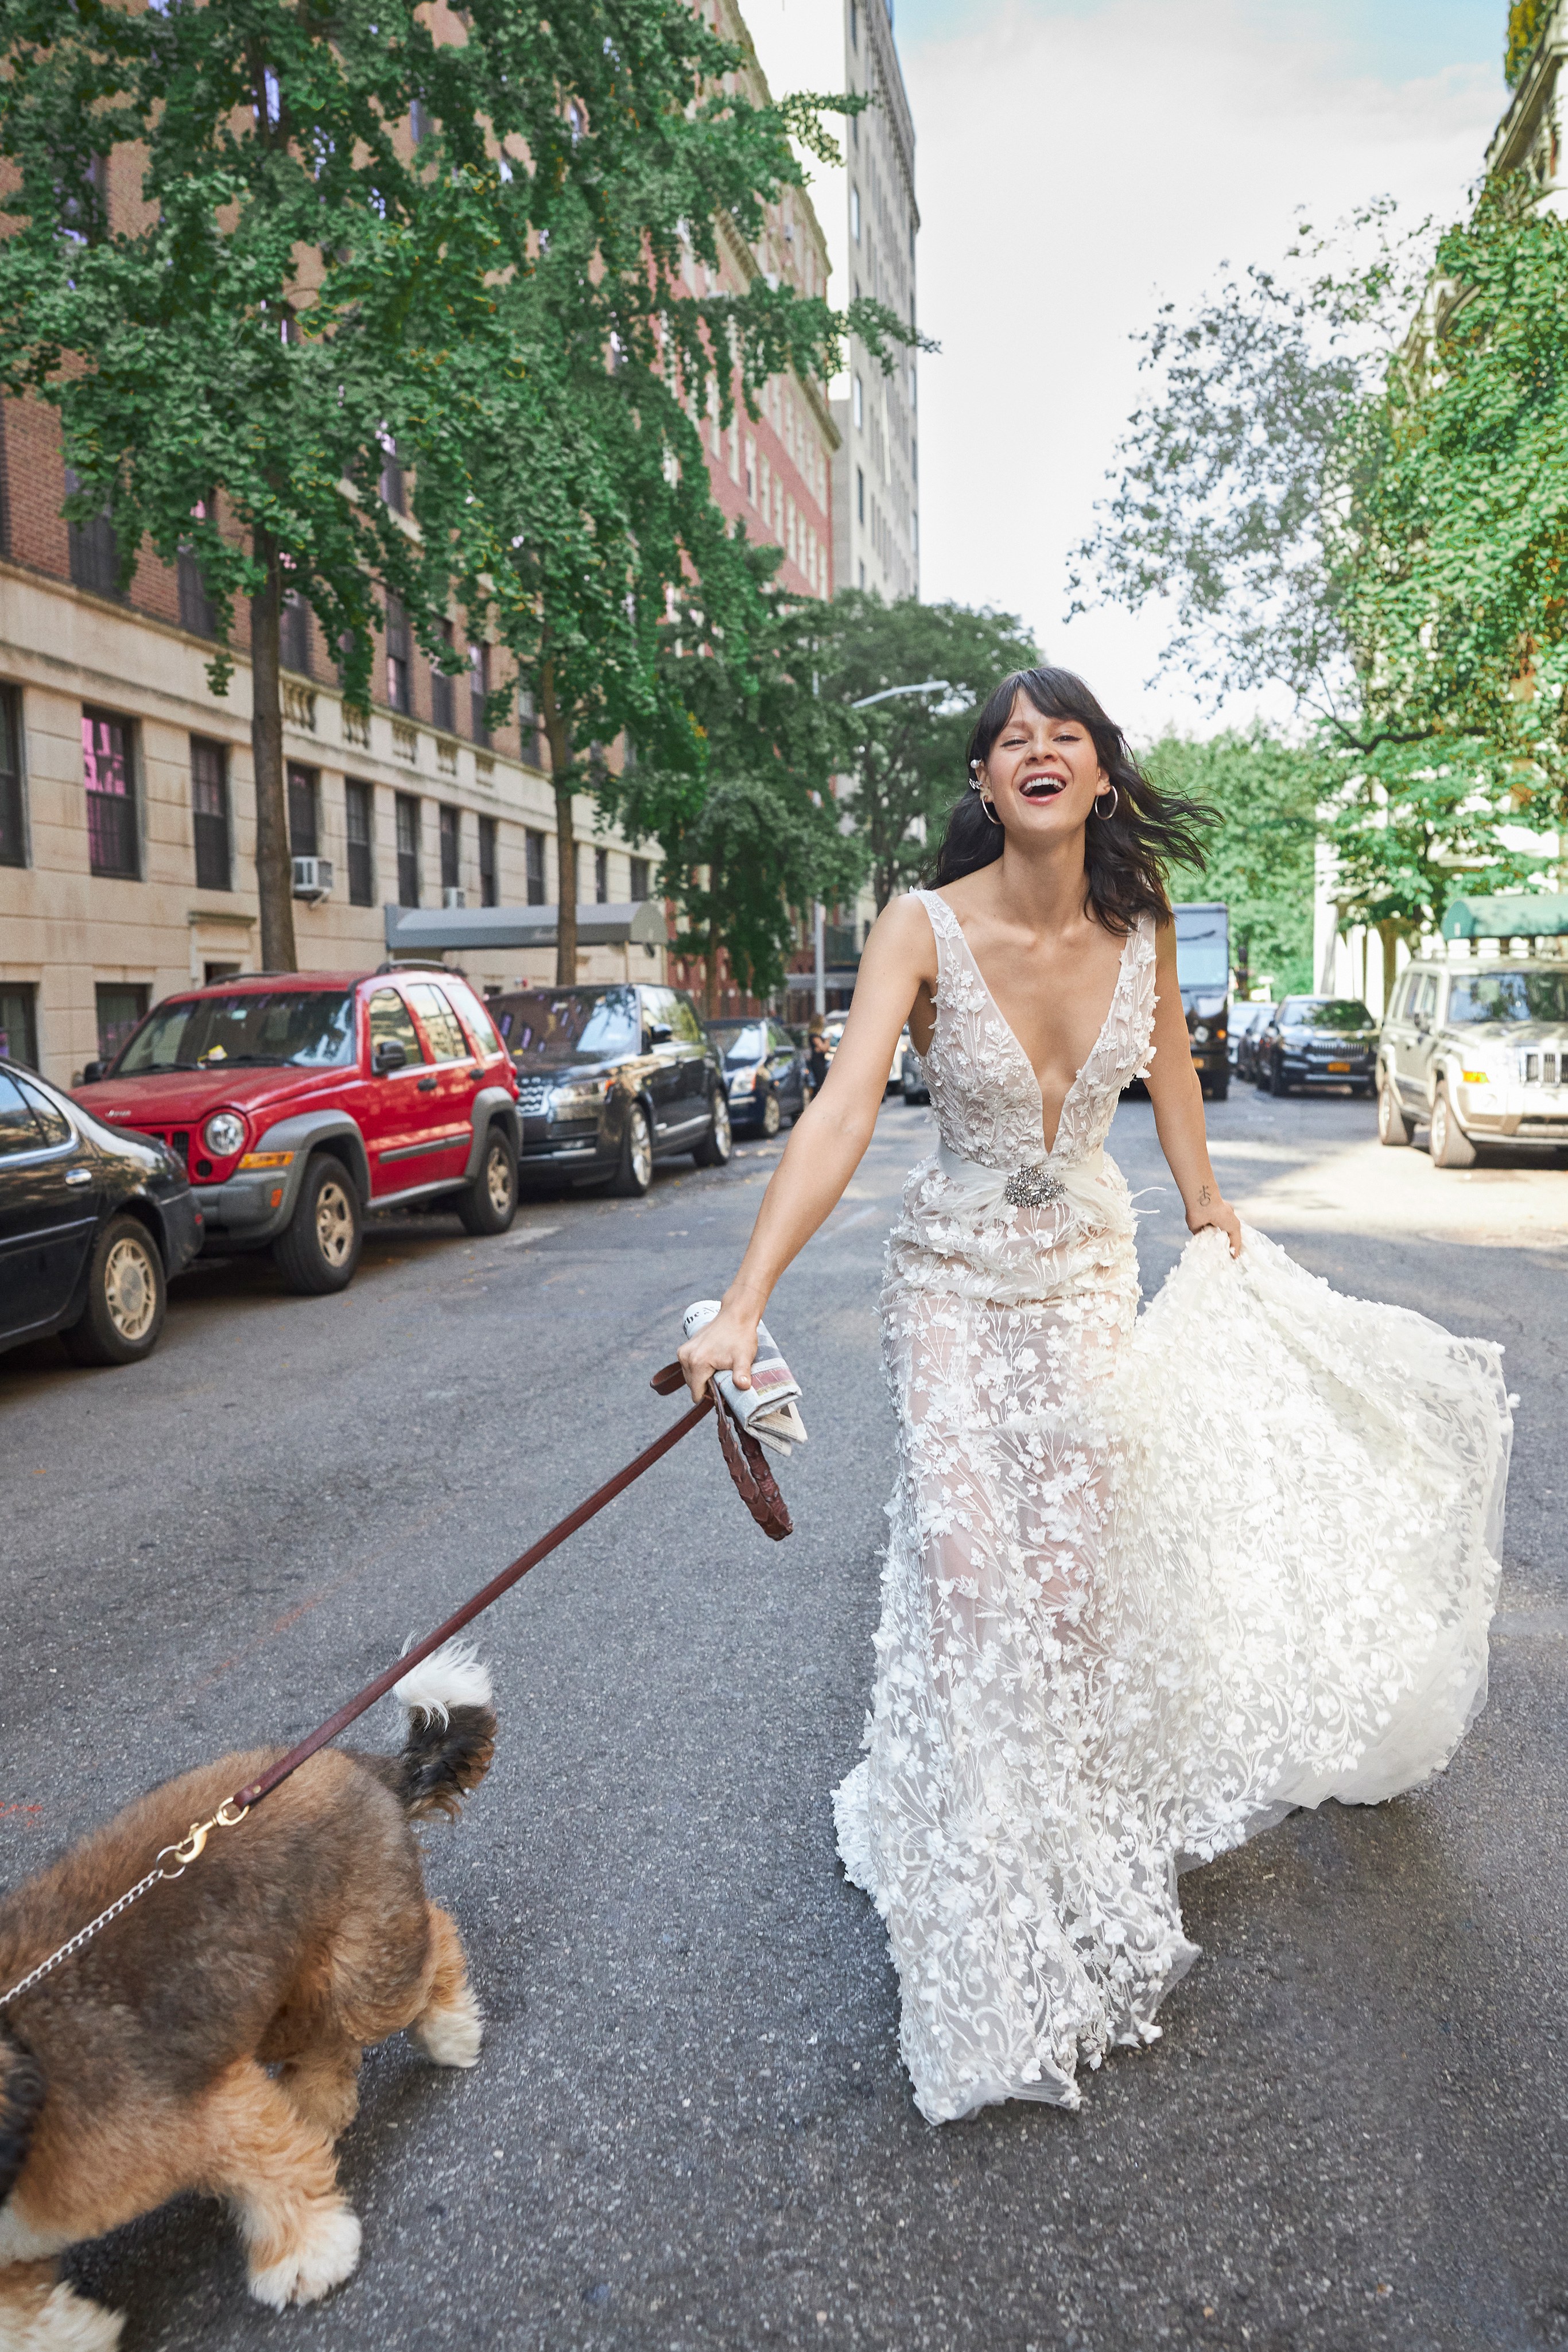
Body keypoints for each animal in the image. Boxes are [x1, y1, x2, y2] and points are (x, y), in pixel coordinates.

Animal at [0, 1646, 496, 2342]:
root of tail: (351, 1761)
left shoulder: (209, 2115)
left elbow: (274, 2175)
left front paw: (305, 2255)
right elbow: (21, 2316)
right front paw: (70, 2335)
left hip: (362, 1977)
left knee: (437, 1944)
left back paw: (451, 2030)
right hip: (271, 1990)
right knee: (323, 2045)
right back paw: (315, 2105)